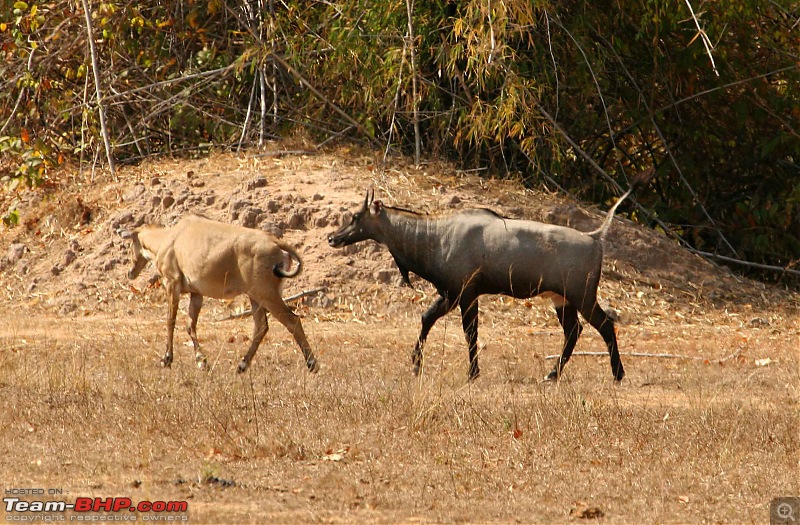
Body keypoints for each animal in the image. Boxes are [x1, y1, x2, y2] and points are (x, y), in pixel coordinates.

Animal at [332, 176, 648, 380]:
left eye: (356, 216)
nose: (332, 238)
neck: (435, 236)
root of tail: (595, 238)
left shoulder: (466, 293)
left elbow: (470, 332)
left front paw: (472, 373)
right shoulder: (450, 294)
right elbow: (426, 318)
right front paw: (415, 365)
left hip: (582, 296)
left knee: (604, 325)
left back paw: (618, 374)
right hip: (561, 300)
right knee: (574, 332)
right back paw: (551, 374)